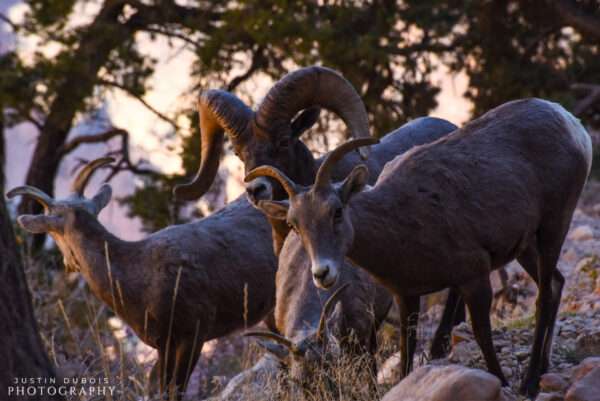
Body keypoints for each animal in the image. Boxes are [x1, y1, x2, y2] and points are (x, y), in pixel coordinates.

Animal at [7, 158, 278, 398]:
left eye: (53, 232)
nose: (68, 263)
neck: (138, 282)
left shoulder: (195, 329)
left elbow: (175, 390)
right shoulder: (163, 342)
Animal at [247, 98, 592, 396]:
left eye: (337, 211)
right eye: (295, 224)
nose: (322, 273)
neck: (402, 218)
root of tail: (570, 123)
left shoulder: (474, 279)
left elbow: (482, 334)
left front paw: (503, 383)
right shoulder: (406, 295)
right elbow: (407, 351)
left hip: (553, 227)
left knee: (543, 297)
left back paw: (530, 383)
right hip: (526, 247)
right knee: (556, 284)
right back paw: (543, 369)